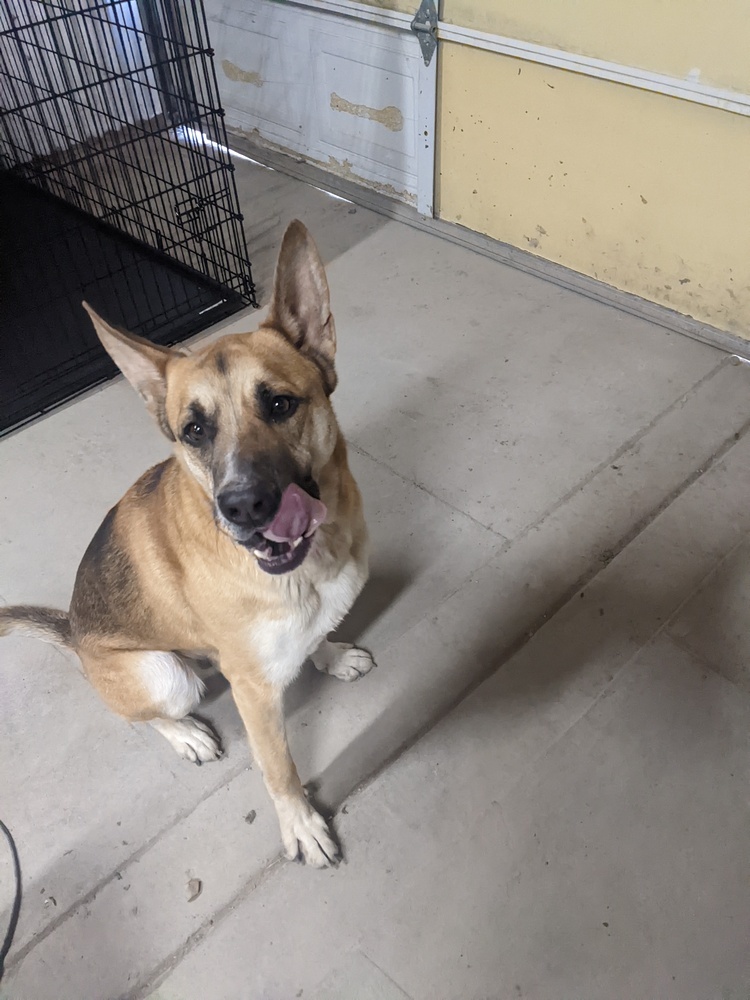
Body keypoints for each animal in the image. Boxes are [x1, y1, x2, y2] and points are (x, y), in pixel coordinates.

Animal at [0, 219, 374, 868]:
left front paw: (328, 654)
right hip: (163, 675)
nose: (243, 507)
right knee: (146, 715)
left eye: (280, 404)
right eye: (194, 430)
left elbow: (316, 636)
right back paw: (186, 734)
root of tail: (74, 632)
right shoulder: (254, 695)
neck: (309, 566)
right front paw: (301, 824)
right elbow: (279, 769)